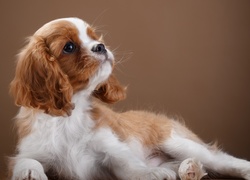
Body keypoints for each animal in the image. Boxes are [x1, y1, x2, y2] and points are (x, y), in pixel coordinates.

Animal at [8, 17, 249, 180]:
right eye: (69, 47)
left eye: (94, 37)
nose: (101, 46)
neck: (70, 116)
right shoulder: (32, 149)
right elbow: (26, 160)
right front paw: (29, 172)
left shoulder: (111, 149)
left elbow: (131, 166)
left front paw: (151, 173)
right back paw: (189, 169)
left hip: (176, 141)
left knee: (220, 160)